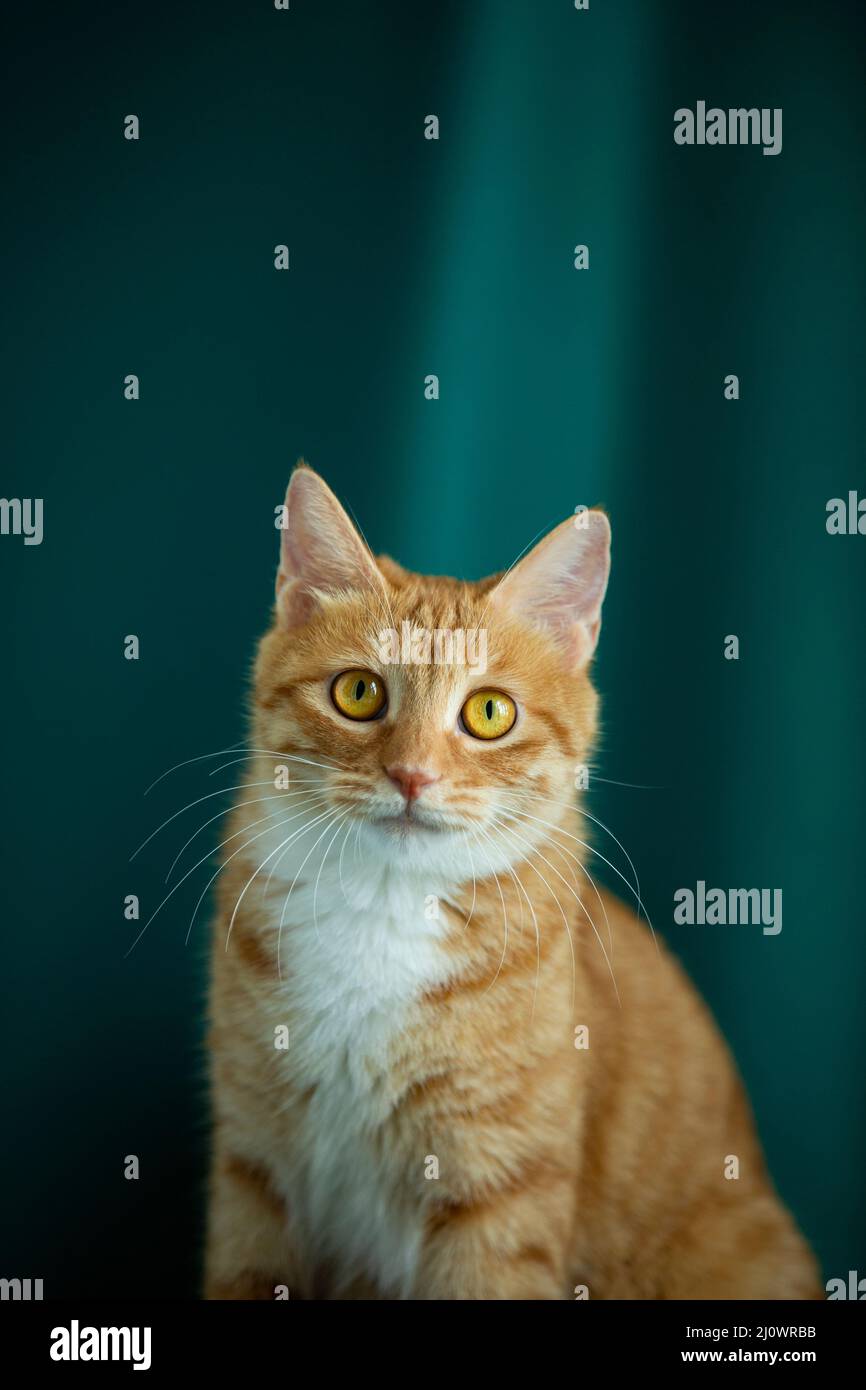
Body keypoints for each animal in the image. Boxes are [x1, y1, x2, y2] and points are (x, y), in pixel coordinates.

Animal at [202, 467, 817, 1301]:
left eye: (489, 712)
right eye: (359, 693)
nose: (412, 775)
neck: (384, 907)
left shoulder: (499, 1201)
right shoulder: (254, 1172)